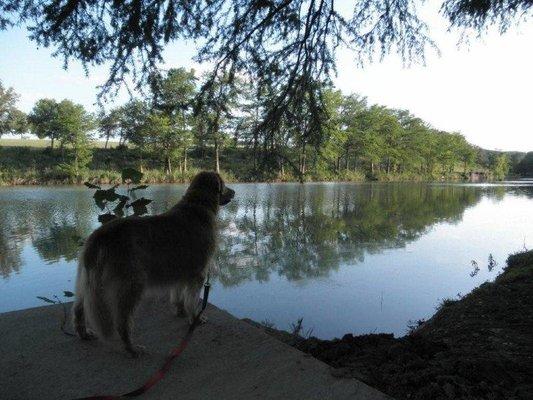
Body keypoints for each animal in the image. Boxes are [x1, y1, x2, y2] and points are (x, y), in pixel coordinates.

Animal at [72, 172, 235, 356]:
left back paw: (84, 333)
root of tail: (99, 236)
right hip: (132, 283)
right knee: (121, 322)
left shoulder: (181, 269)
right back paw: (132, 348)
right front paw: (194, 318)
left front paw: (180, 311)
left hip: (86, 280)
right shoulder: (197, 272)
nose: (234, 192)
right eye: (224, 184)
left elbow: (178, 294)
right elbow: (191, 300)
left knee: (78, 309)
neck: (197, 205)